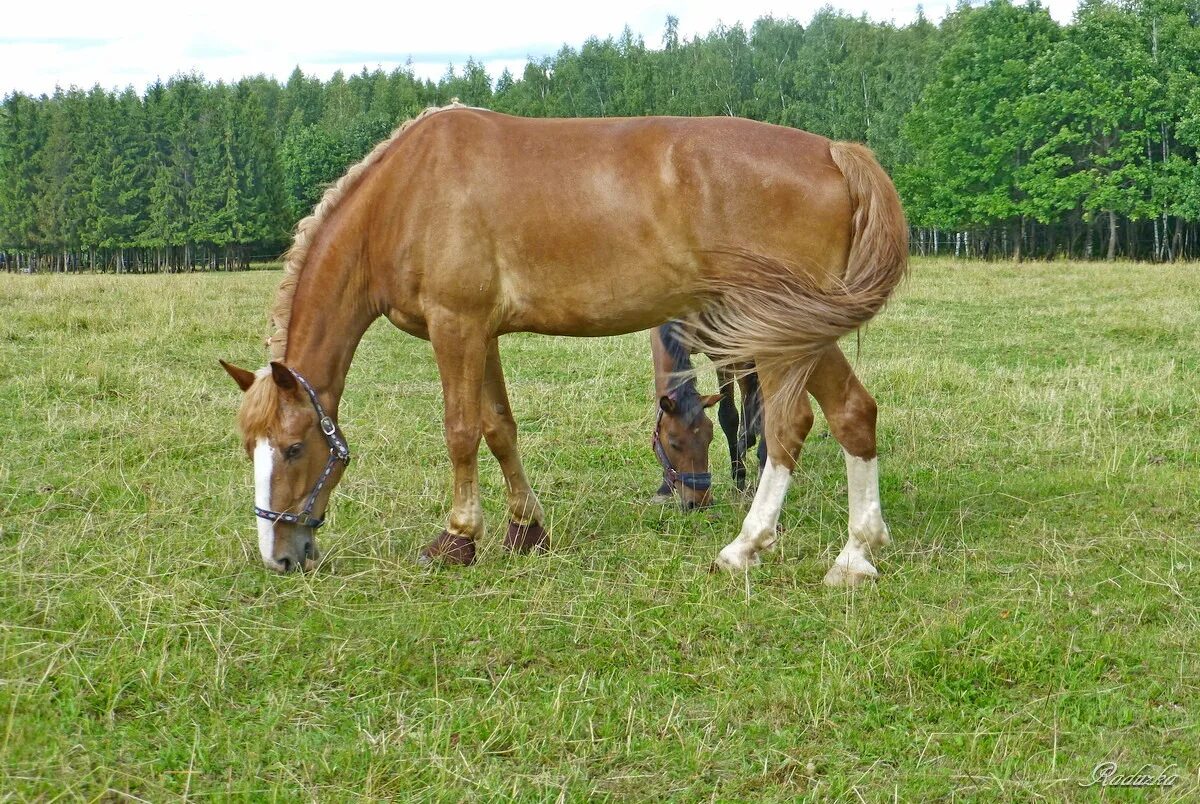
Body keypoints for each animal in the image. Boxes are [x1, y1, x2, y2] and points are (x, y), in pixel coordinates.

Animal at [220, 103, 902, 588]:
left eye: (293, 447)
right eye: (250, 448)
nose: (280, 556)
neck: (404, 197)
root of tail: (834, 153)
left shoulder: (455, 326)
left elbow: (460, 431)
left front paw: (458, 538)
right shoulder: (482, 333)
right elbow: (499, 428)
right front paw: (526, 530)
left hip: (780, 329)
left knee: (787, 427)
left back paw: (744, 547)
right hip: (799, 330)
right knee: (852, 413)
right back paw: (854, 556)